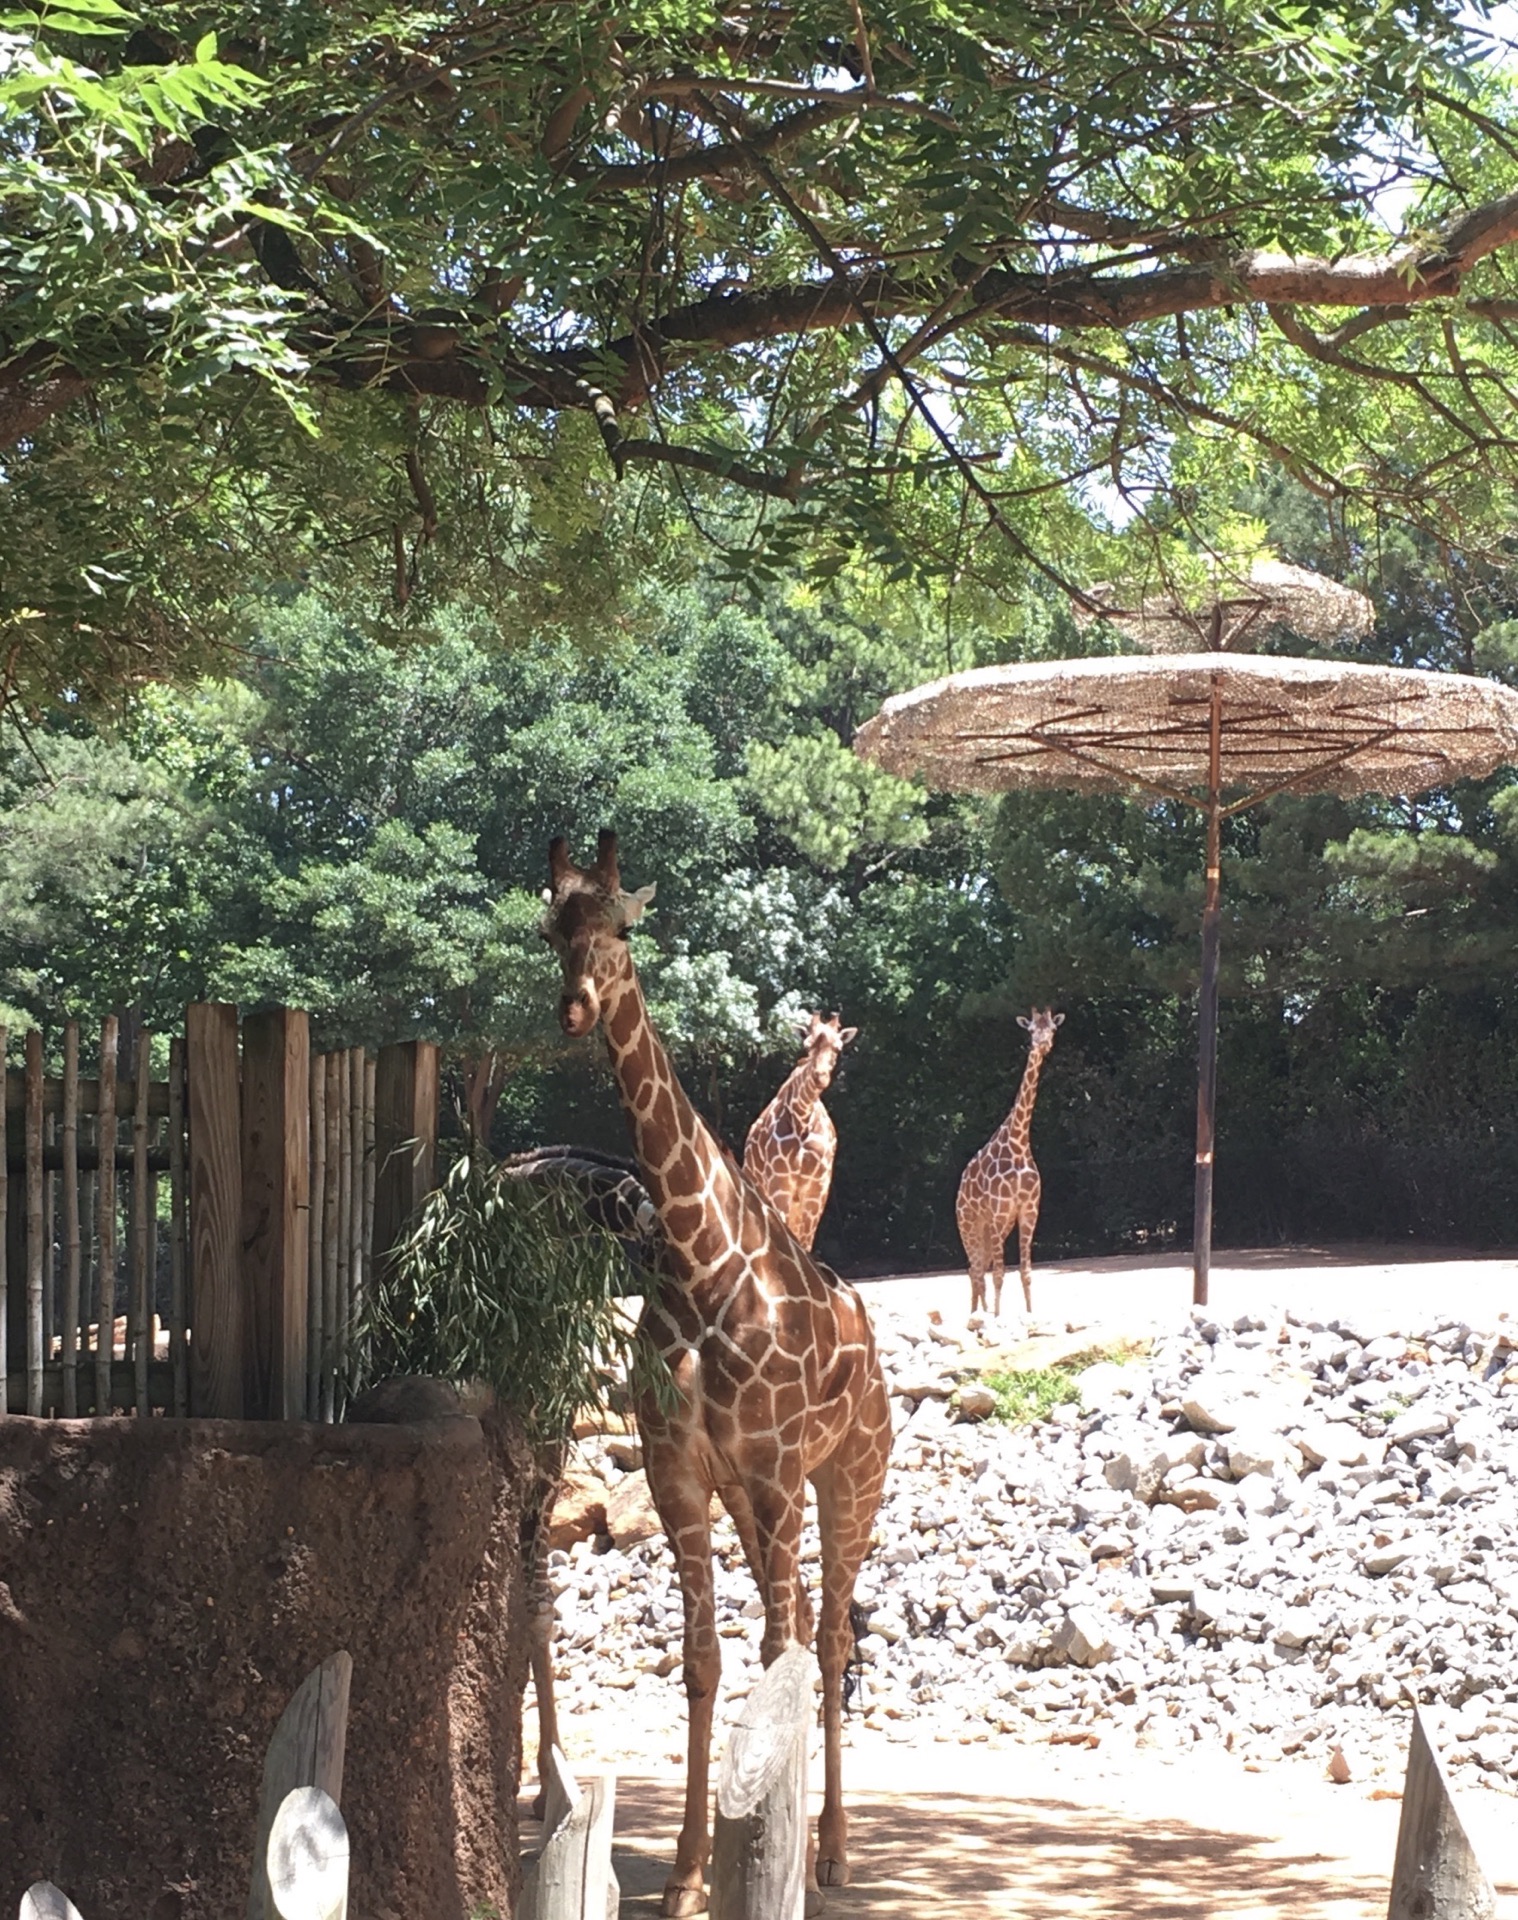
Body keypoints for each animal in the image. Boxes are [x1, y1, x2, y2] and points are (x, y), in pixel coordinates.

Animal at [742, 1010, 857, 1251]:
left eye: (838, 1048)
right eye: (807, 1046)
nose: (820, 1077)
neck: (803, 1116)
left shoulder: (817, 1188)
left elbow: (805, 1241)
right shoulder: (780, 1183)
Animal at [955, 1007, 1064, 1317]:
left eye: (1052, 1028)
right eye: (1030, 1030)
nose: (1042, 1044)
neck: (1018, 1143)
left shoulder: (1028, 1211)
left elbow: (1025, 1272)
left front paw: (1029, 1315)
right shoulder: (999, 1213)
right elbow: (1000, 1274)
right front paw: (997, 1317)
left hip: (990, 1228)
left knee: (979, 1268)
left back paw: (978, 1313)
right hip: (969, 1223)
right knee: (976, 1269)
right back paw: (977, 1315)